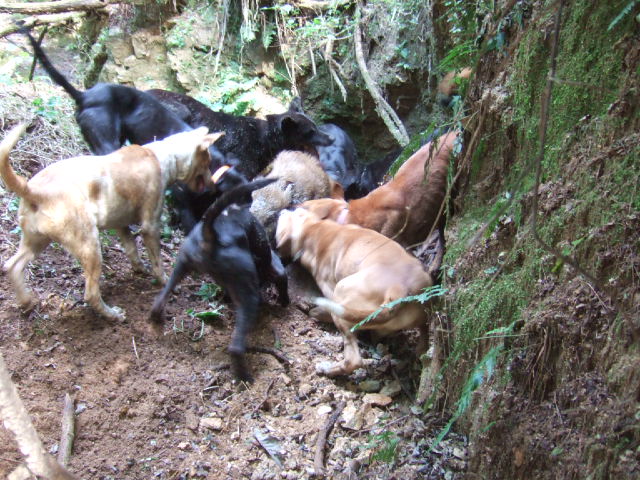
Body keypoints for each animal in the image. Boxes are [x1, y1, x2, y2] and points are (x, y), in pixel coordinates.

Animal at [1, 124, 220, 320]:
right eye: (208, 161)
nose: (214, 185)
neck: (164, 156)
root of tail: (33, 190)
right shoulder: (150, 225)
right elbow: (157, 262)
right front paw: (165, 282)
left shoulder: (120, 225)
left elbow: (132, 249)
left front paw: (140, 268)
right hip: (90, 247)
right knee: (90, 293)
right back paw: (113, 315)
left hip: (36, 241)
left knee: (12, 265)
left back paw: (26, 302)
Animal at [147, 89, 333, 179]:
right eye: (310, 132)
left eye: (316, 126)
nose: (331, 138)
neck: (265, 140)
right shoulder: (241, 167)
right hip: (180, 111)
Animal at [149, 177, 289, 382]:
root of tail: (211, 234)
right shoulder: (276, 267)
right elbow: (283, 282)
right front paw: (284, 303)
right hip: (248, 295)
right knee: (236, 347)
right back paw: (244, 377)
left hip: (181, 264)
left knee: (161, 297)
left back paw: (155, 318)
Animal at [275, 208, 433, 377]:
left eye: (292, 212)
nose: (283, 210)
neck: (314, 228)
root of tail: (397, 290)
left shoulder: (329, 287)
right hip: (422, 318)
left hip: (341, 293)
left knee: (353, 360)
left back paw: (327, 369)